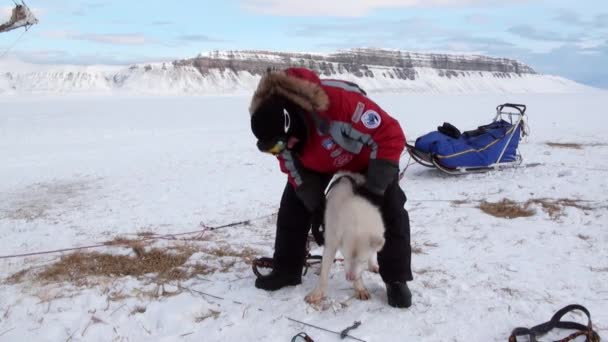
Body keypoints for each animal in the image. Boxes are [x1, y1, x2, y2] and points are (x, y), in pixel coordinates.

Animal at [304, 172, 384, 304]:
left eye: (362, 260)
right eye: (346, 256)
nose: (350, 277)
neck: (357, 220)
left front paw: (359, 287)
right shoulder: (331, 241)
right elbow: (325, 271)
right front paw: (317, 293)